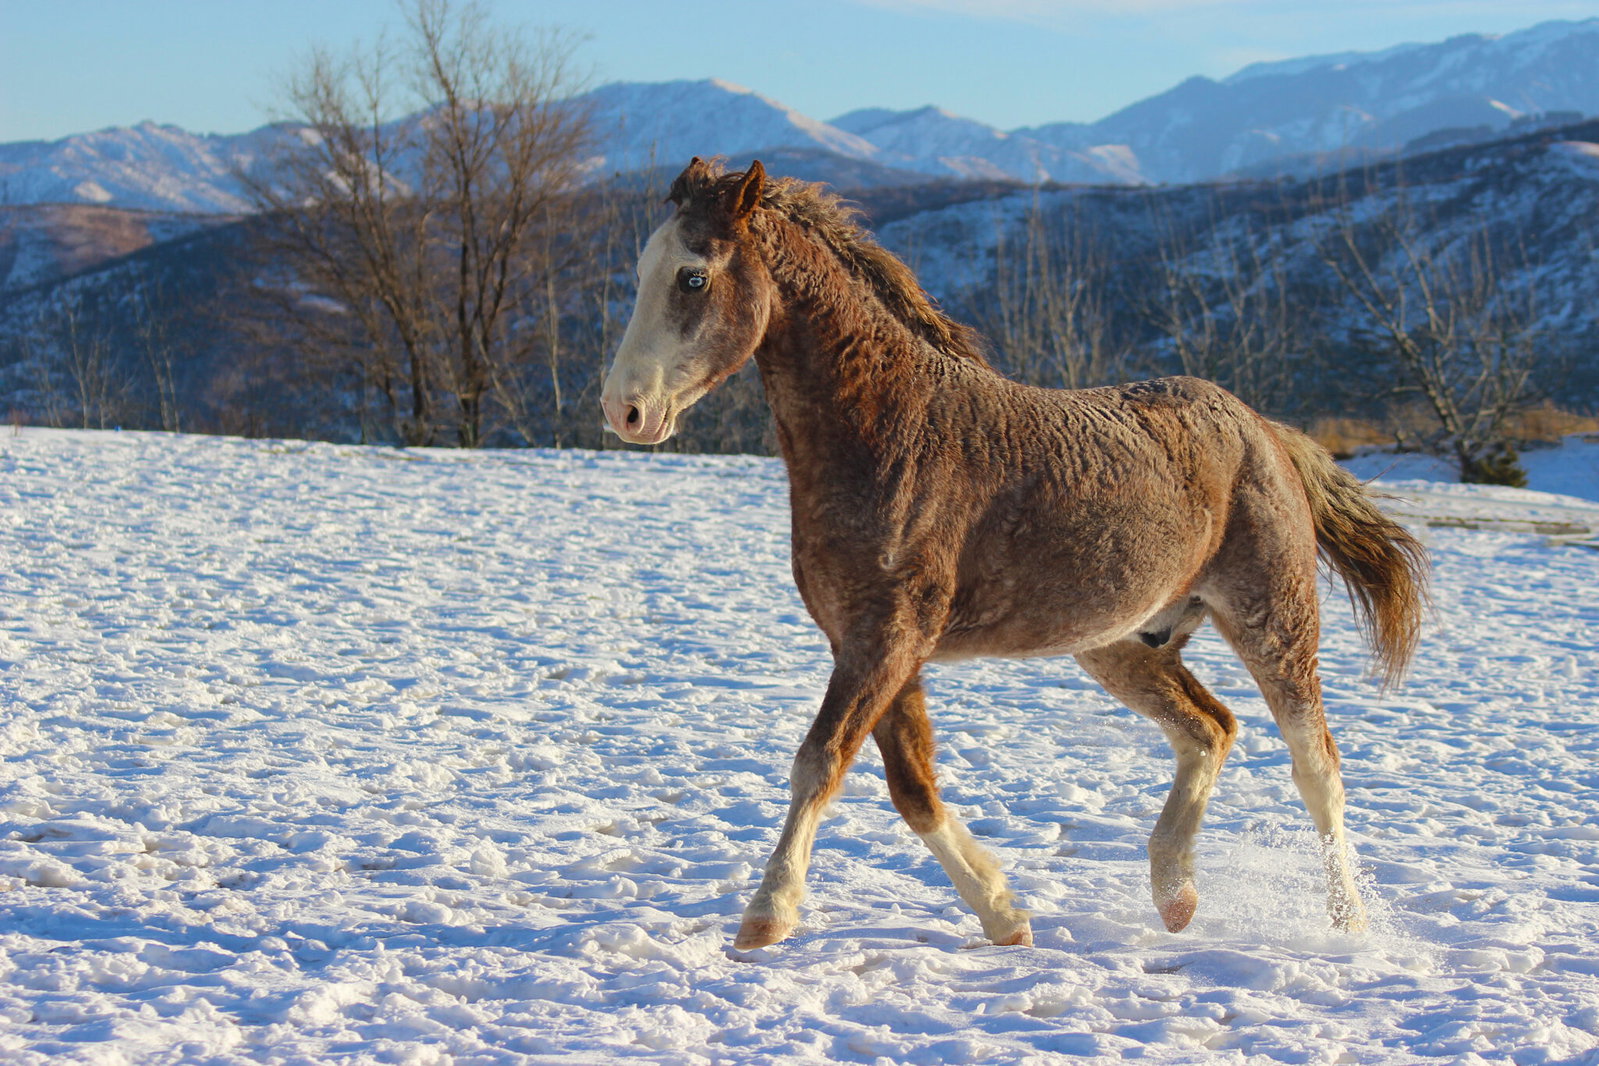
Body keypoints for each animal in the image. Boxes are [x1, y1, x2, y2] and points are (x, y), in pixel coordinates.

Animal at [600, 158, 1428, 950]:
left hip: (1272, 619)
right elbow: (912, 787)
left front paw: (765, 916)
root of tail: (1263, 429)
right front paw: (1004, 916)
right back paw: (1174, 894)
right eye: (640, 269)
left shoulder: (886, 638)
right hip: (1120, 643)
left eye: (693, 276)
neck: (896, 433)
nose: (625, 410)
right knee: (1209, 729)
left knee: (1315, 766)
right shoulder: (873, 645)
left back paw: (1347, 925)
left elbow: (821, 761)